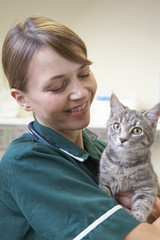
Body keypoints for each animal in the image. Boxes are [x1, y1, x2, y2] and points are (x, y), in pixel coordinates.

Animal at [99, 93, 160, 222]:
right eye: (117, 126)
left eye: (137, 130)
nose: (122, 139)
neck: (123, 164)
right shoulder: (105, 180)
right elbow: (104, 191)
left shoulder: (148, 186)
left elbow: (143, 201)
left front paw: (139, 215)